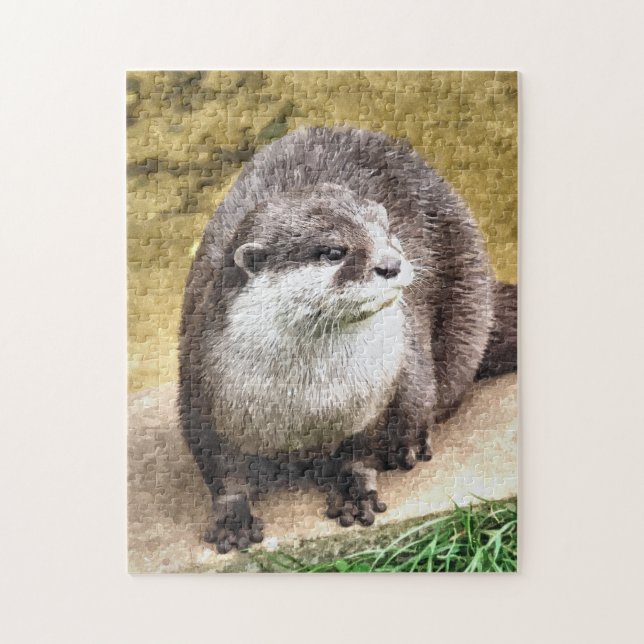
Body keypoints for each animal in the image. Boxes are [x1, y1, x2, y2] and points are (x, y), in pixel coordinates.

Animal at [179, 126, 517, 553]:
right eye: (333, 252)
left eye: (388, 233)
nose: (391, 263)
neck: (308, 406)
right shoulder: (201, 387)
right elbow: (221, 469)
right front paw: (233, 518)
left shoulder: (379, 394)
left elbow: (363, 452)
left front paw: (356, 492)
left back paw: (413, 444)